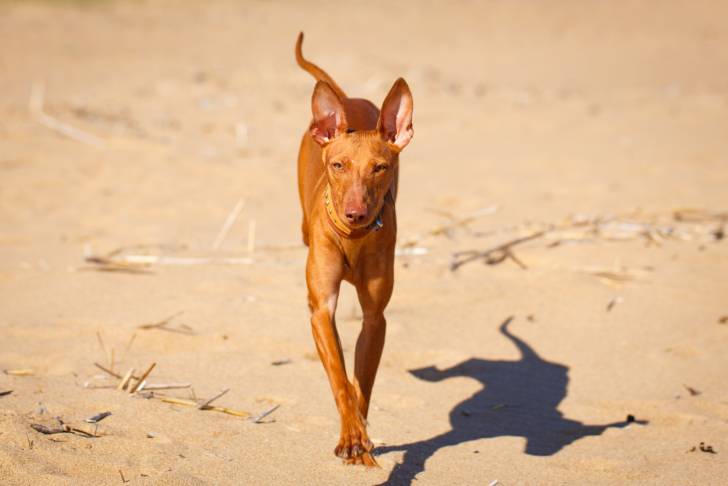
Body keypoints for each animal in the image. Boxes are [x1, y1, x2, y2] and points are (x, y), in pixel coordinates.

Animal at [295, 32, 414, 466]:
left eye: (380, 167)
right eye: (339, 165)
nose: (356, 213)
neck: (352, 238)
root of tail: (346, 101)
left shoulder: (375, 319)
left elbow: (360, 384)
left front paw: (359, 439)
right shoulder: (321, 309)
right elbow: (340, 380)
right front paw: (352, 436)